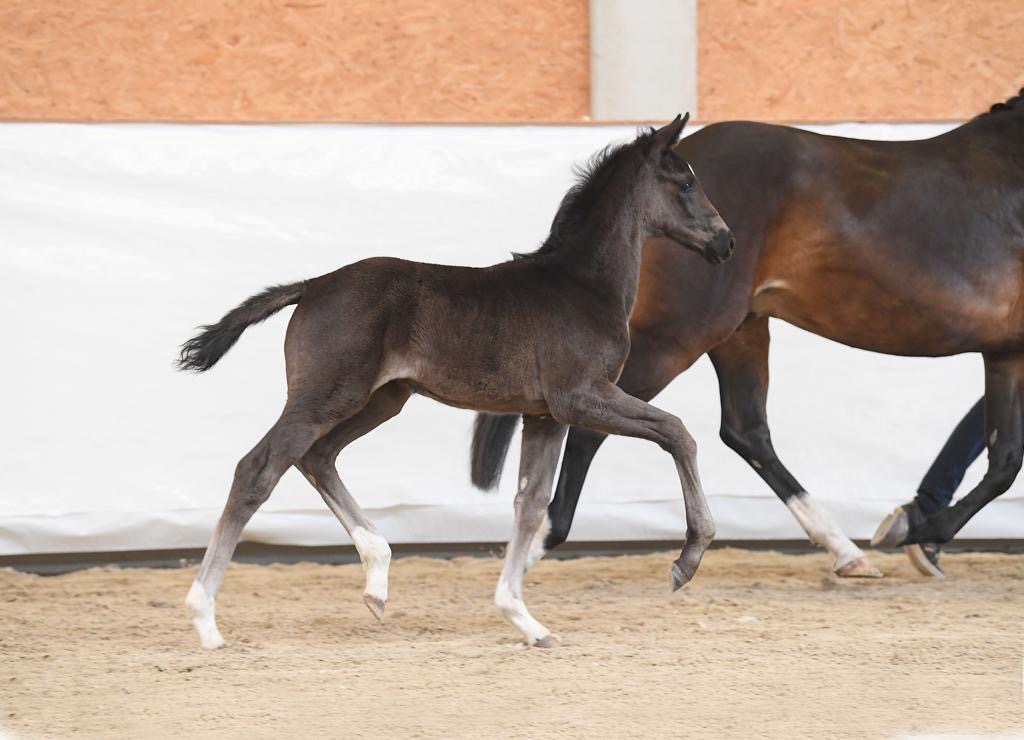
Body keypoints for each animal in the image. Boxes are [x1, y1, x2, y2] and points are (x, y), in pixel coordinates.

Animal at [176, 115, 735, 649]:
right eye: (686, 182)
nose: (726, 241)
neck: (580, 285)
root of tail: (312, 286)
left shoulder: (543, 414)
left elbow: (530, 503)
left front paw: (525, 620)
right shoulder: (580, 398)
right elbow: (677, 432)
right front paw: (687, 560)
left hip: (381, 401)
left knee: (317, 457)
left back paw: (377, 578)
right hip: (324, 398)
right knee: (259, 469)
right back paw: (205, 618)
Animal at [471, 88, 1024, 578]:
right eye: (686, 188)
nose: (723, 240)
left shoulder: (1006, 353)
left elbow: (1002, 457)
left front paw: (915, 528)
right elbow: (1003, 462)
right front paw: (918, 529)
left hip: (739, 330)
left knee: (746, 430)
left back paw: (848, 552)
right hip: (682, 332)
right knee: (595, 427)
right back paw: (538, 544)